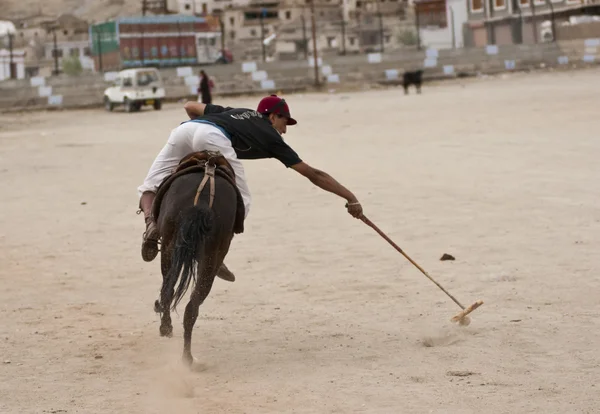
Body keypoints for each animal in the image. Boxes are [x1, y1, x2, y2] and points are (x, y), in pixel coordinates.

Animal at [152, 152, 244, 366]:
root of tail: (201, 203)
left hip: (173, 248)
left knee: (170, 292)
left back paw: (167, 330)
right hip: (208, 258)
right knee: (190, 305)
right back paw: (187, 357)